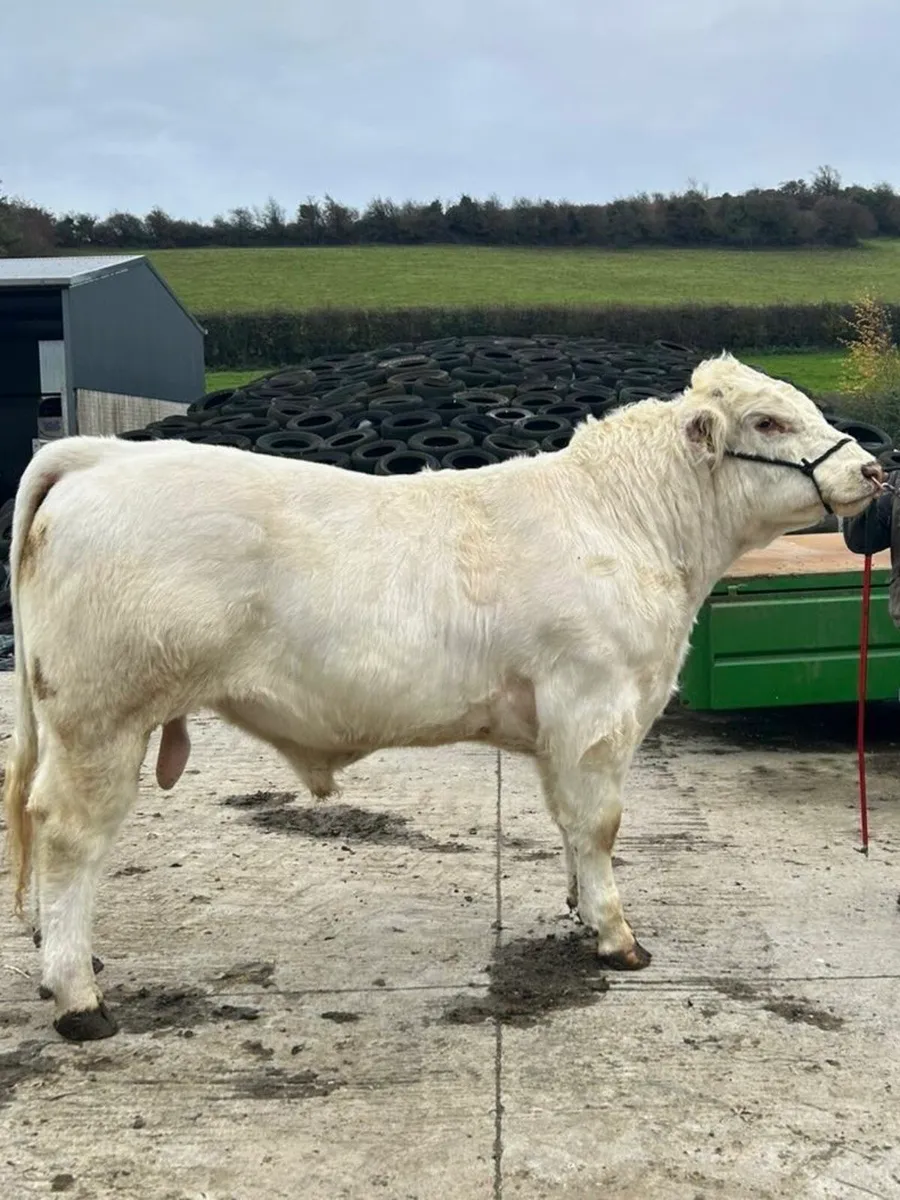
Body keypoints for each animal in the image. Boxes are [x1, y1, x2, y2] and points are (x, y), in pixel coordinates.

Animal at [2, 353, 883, 1042]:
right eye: (768, 420)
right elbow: (599, 824)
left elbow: (571, 826)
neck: (632, 525)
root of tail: (99, 456)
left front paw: (577, 907)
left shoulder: (563, 728)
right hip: (101, 716)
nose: (872, 470)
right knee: (69, 834)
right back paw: (79, 996)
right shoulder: (594, 708)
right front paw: (615, 935)